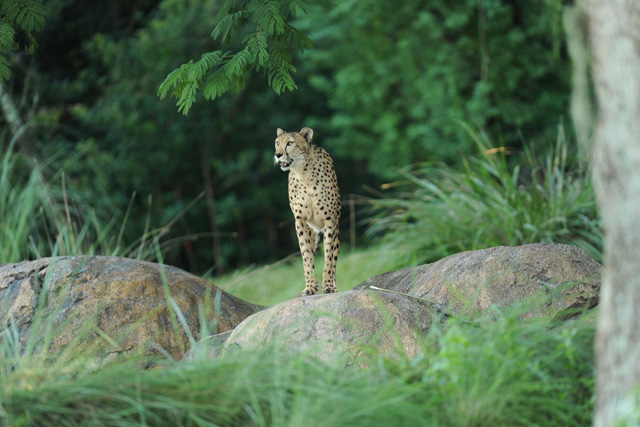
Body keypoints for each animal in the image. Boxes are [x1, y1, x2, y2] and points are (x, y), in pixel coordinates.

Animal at [273, 127, 341, 296]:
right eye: (277, 143)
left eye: (290, 143)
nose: (277, 154)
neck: (304, 174)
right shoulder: (300, 221)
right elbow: (306, 256)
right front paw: (310, 286)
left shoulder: (330, 221)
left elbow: (329, 257)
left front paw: (328, 286)